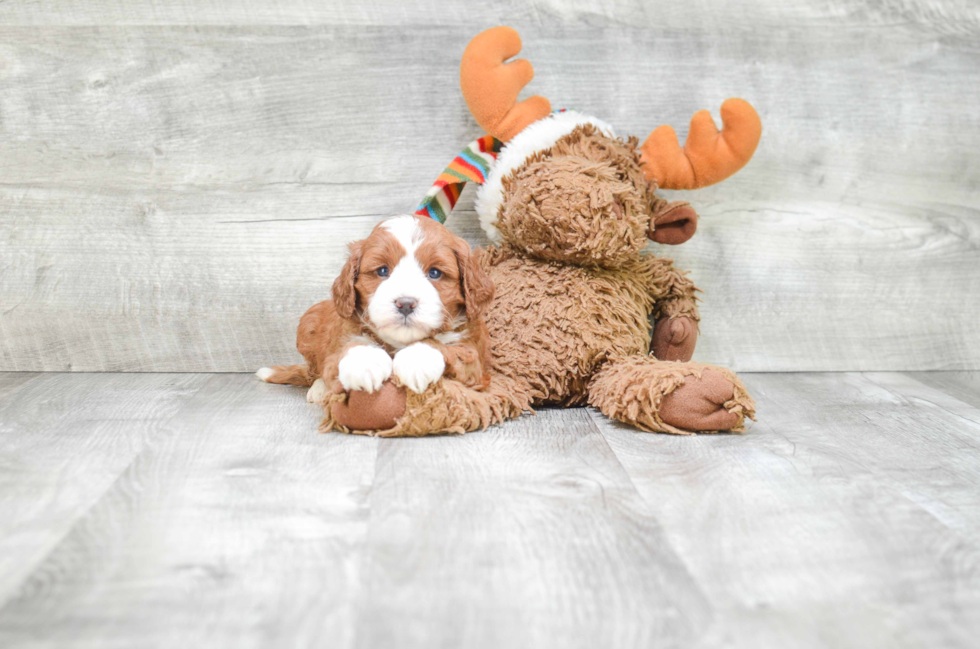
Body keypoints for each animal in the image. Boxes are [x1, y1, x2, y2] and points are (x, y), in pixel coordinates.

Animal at [256, 214, 494, 404]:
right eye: (382, 271)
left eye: (435, 273)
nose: (405, 303)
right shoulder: (341, 337)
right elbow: (344, 351)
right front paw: (365, 363)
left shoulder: (475, 362)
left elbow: (448, 348)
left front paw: (417, 360)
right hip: (309, 320)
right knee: (315, 370)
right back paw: (320, 389)